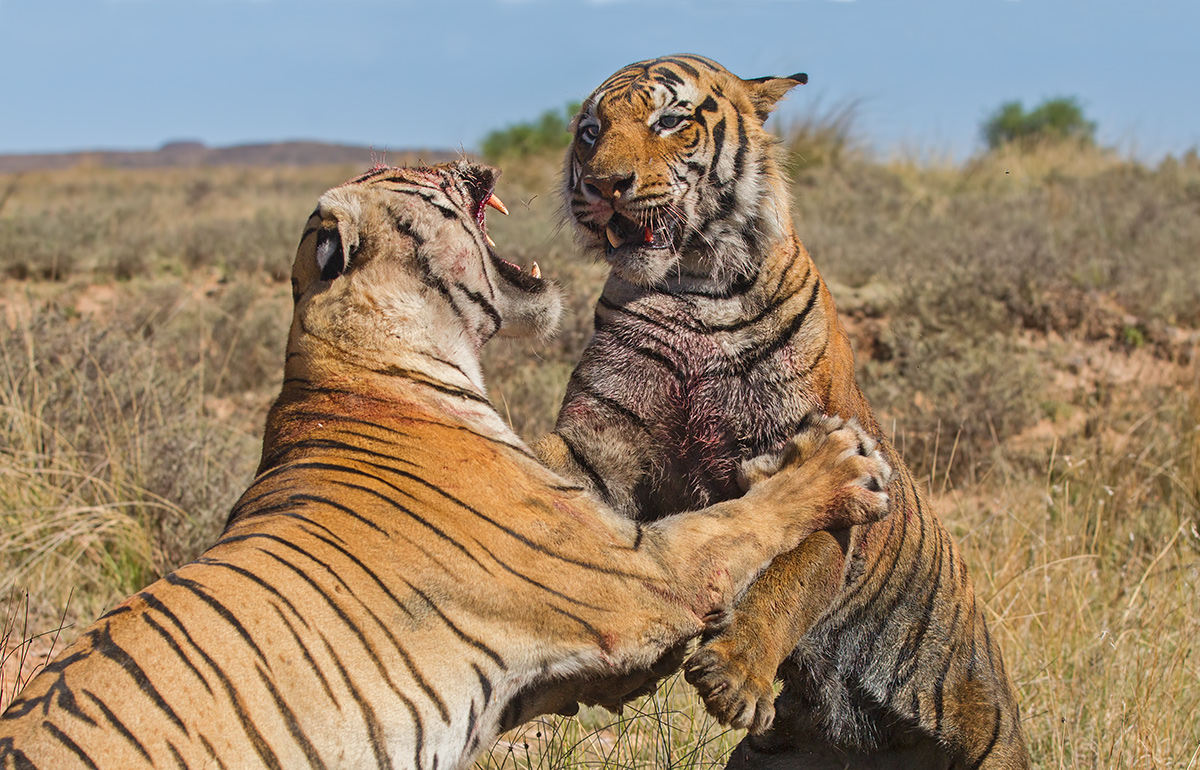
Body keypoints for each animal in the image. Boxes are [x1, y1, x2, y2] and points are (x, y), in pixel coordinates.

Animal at [535, 54, 1032, 769]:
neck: (691, 288)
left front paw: (735, 674)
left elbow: (798, 570)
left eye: (670, 120)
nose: (605, 185)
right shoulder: (602, 446)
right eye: (590, 133)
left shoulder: (821, 465)